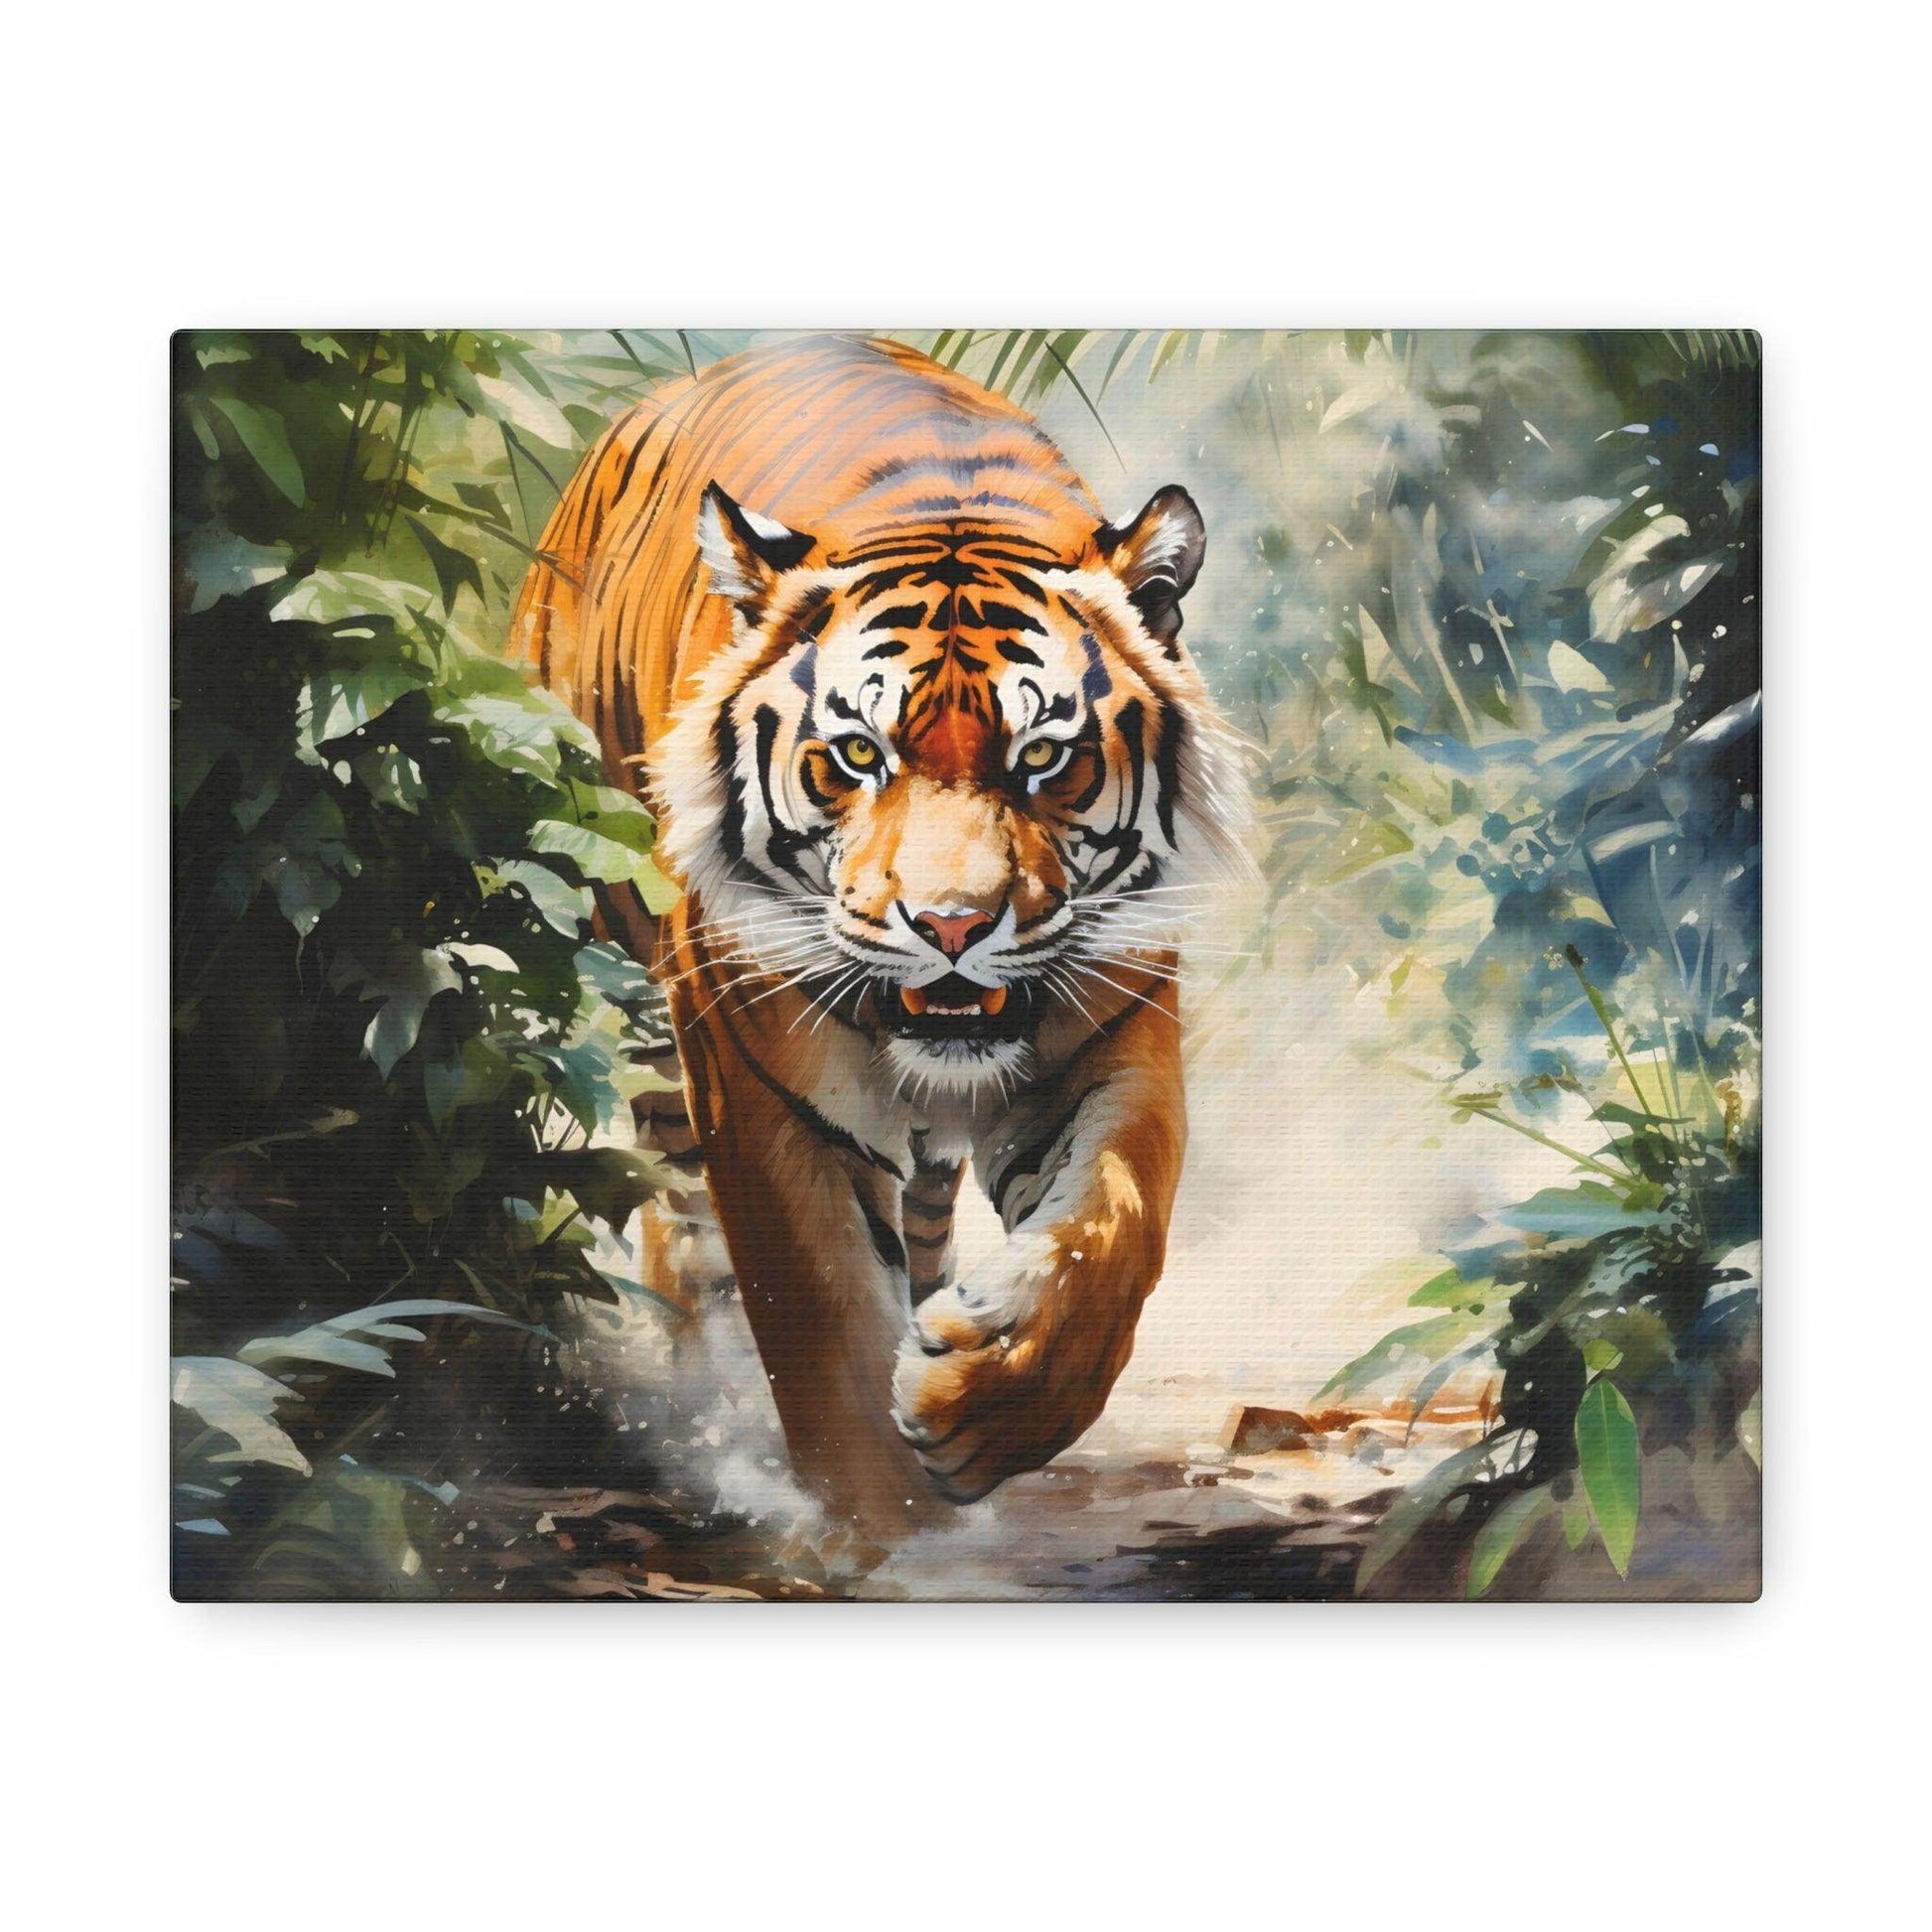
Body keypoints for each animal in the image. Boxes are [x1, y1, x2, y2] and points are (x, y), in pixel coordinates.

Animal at [512, 334, 1248, 1533]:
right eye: (858, 754)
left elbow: (1113, 1230)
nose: (951, 925)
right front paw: (887, 1534)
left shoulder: (1111, 1035)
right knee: (685, 1236)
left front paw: (976, 1404)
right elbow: (818, 1326)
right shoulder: (759, 1085)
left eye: (1043, 757)